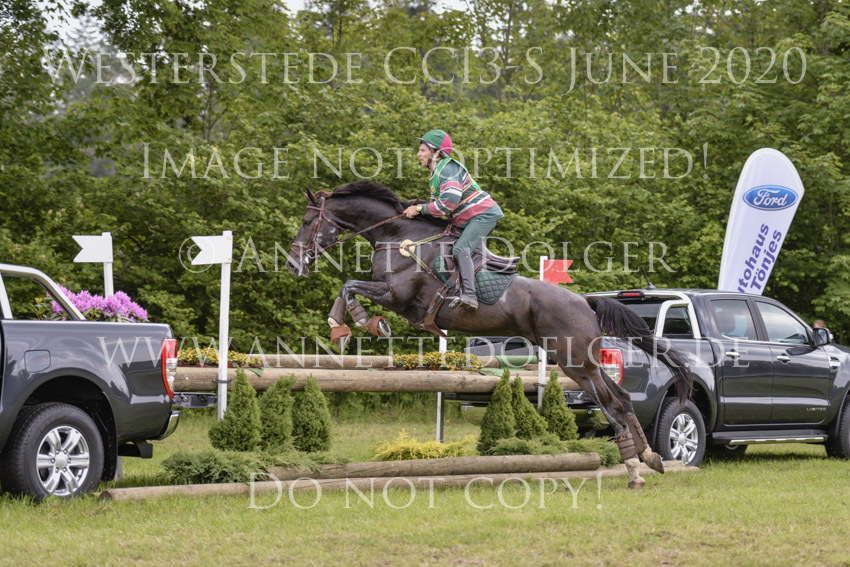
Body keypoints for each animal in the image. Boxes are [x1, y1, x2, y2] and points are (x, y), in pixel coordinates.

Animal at [286, 181, 694, 488]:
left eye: (307, 221)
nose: (292, 264)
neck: (396, 236)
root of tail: (584, 301)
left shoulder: (399, 297)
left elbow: (349, 286)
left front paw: (361, 321)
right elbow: (347, 287)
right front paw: (341, 324)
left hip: (575, 363)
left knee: (612, 405)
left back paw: (634, 472)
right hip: (584, 363)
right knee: (622, 399)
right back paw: (650, 459)